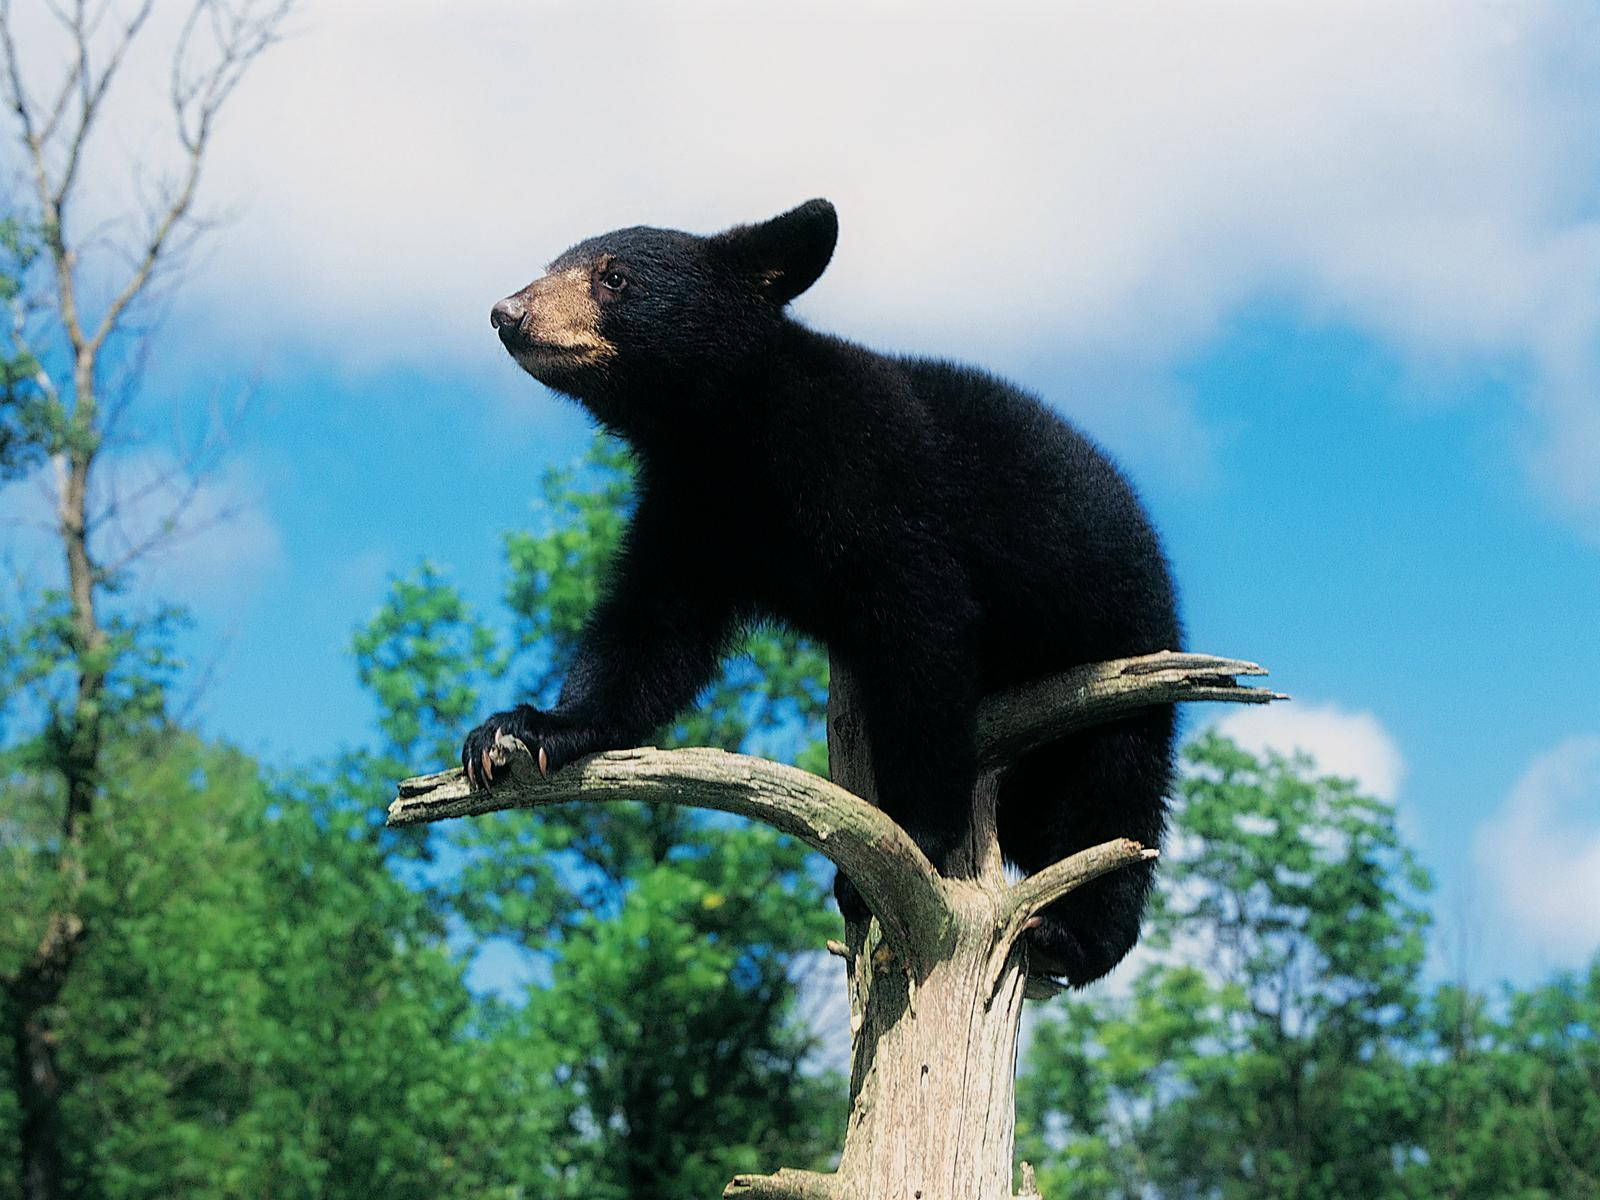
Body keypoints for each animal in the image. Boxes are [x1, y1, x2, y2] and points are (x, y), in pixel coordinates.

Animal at [462, 199, 1181, 987]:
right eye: (552, 264)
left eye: (613, 276)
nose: (507, 312)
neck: (731, 432)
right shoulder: (694, 512)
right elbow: (649, 634)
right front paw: (521, 730)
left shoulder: (874, 480)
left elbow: (923, 630)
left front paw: (913, 835)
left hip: (1119, 647)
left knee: (1114, 794)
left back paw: (1072, 935)